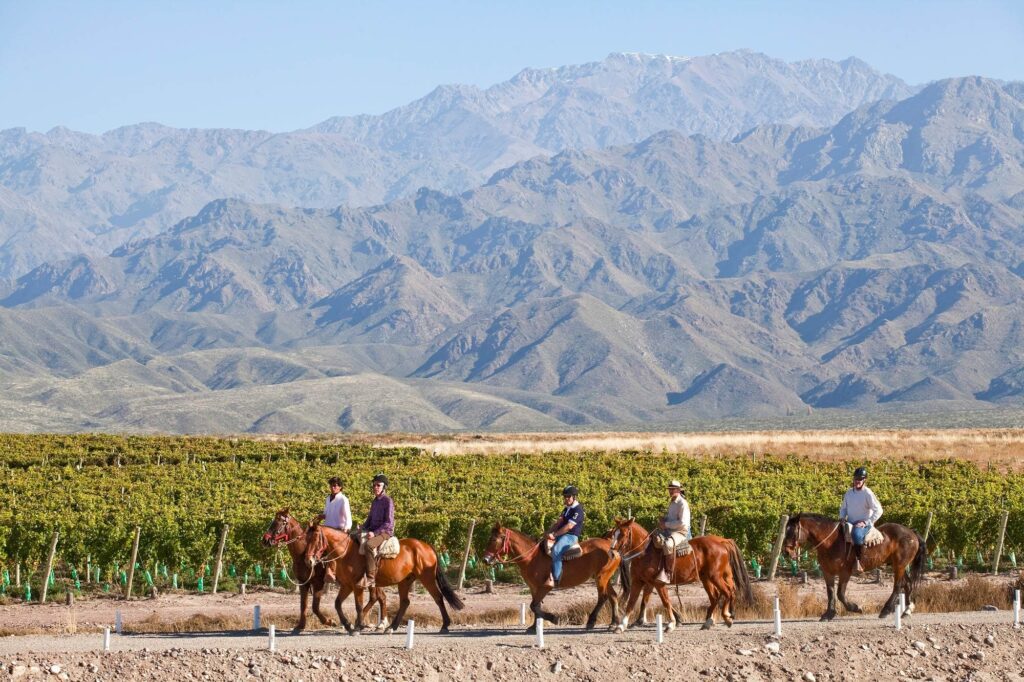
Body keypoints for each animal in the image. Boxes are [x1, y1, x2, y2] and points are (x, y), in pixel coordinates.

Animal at [303, 520, 464, 630]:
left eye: (315, 539)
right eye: (306, 539)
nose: (308, 560)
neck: (346, 552)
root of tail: (426, 546)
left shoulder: (357, 585)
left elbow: (358, 605)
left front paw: (358, 625)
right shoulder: (347, 585)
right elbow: (337, 603)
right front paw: (348, 625)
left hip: (427, 578)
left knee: (438, 597)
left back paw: (445, 625)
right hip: (405, 581)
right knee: (405, 602)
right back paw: (391, 627)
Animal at [481, 522, 622, 630]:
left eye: (494, 539)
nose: (485, 560)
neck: (532, 558)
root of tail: (609, 546)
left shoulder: (546, 586)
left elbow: (534, 605)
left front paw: (554, 618)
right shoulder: (534, 587)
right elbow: (536, 606)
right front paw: (534, 627)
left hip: (601, 578)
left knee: (603, 597)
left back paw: (591, 622)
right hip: (605, 578)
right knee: (613, 596)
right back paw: (614, 623)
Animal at [606, 516, 753, 630]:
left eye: (623, 534)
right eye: (614, 534)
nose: (611, 553)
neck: (645, 553)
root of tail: (723, 542)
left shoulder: (658, 583)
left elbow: (666, 602)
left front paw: (671, 624)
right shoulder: (638, 582)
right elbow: (631, 603)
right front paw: (621, 626)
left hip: (715, 577)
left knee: (728, 592)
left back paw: (727, 618)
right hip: (706, 579)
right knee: (715, 597)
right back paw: (708, 622)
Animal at [782, 512, 929, 618]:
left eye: (792, 532)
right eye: (785, 531)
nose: (786, 552)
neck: (831, 542)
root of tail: (912, 533)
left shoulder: (845, 572)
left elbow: (840, 593)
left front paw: (856, 608)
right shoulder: (827, 572)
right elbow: (830, 592)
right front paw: (829, 613)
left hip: (899, 565)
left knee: (898, 586)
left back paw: (886, 610)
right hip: (899, 565)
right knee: (907, 584)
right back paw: (907, 610)